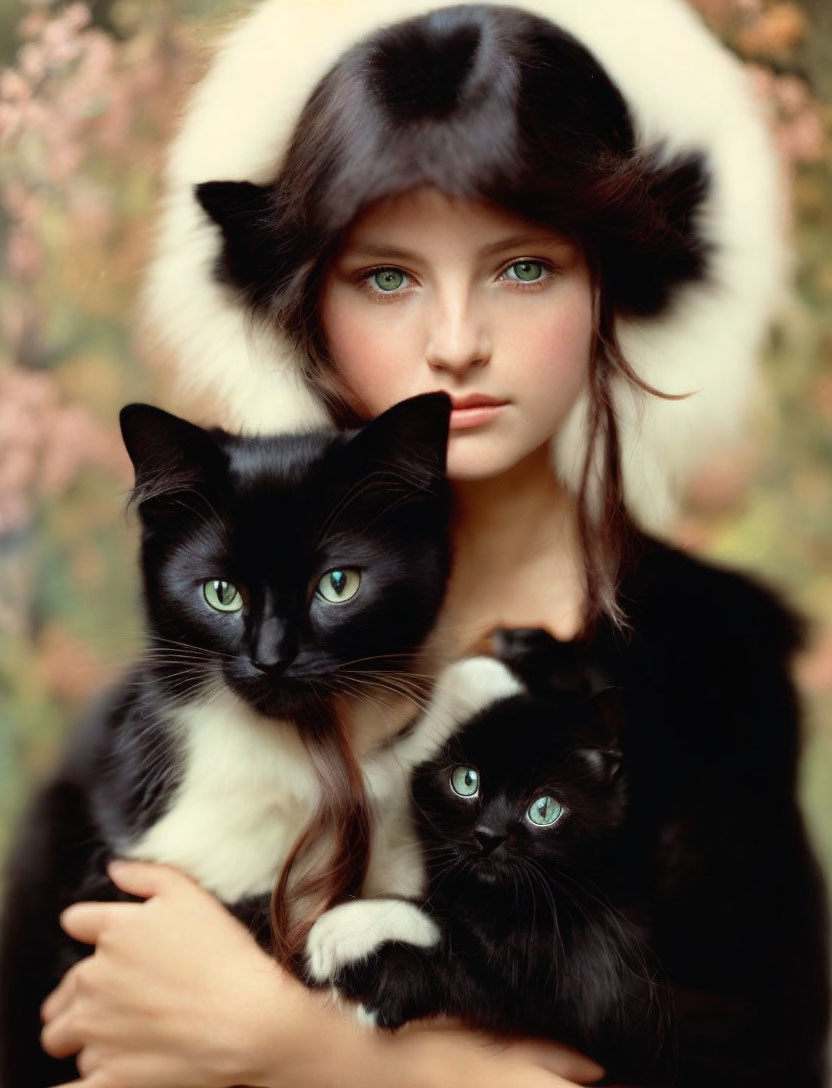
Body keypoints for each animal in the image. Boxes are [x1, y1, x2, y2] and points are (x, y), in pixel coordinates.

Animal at [0, 391, 454, 1088]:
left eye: (338, 584)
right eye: (221, 593)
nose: (271, 659)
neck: (282, 756)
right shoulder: (112, 876)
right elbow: (248, 909)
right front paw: (368, 943)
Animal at [304, 626, 674, 1088]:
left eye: (544, 809)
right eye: (467, 782)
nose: (488, 837)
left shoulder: (590, 969)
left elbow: (462, 936)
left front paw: (344, 932)